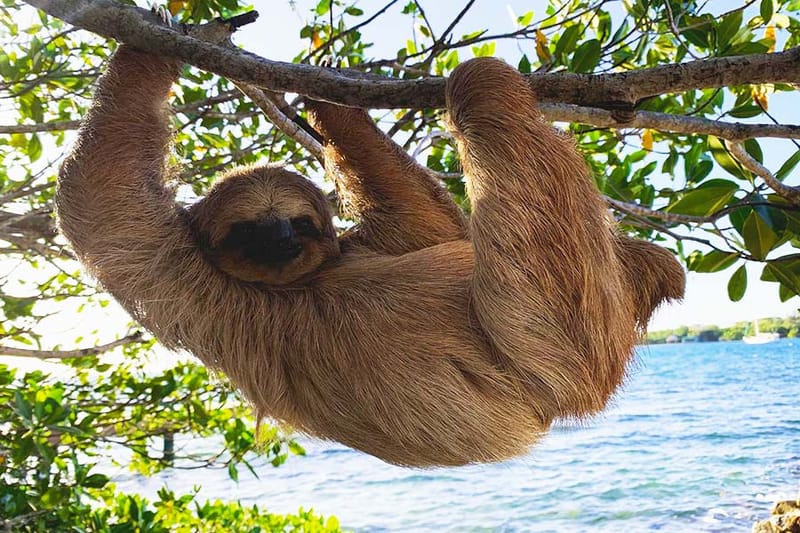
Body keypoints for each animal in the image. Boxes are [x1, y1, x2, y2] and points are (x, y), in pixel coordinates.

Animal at [56, 45, 685, 467]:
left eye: (300, 222)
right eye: (246, 230)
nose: (280, 238)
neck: (303, 281)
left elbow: (425, 221)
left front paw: (325, 99)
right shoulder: (183, 281)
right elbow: (102, 203)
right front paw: (151, 41)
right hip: (567, 339)